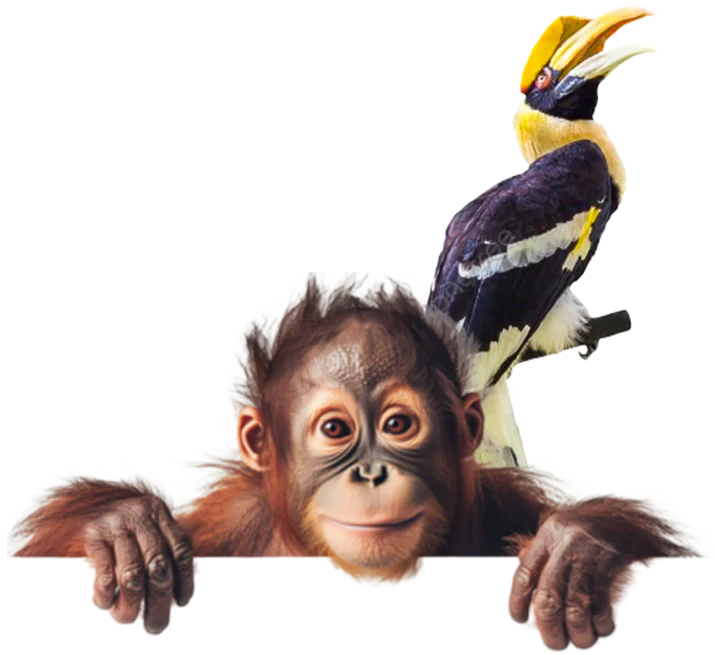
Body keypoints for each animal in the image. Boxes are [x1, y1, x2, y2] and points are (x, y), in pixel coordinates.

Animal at [13, 274, 696, 651]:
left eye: (398, 426)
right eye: (336, 430)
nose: (370, 473)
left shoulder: (507, 503)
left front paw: (578, 549)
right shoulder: (235, 520)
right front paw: (122, 529)